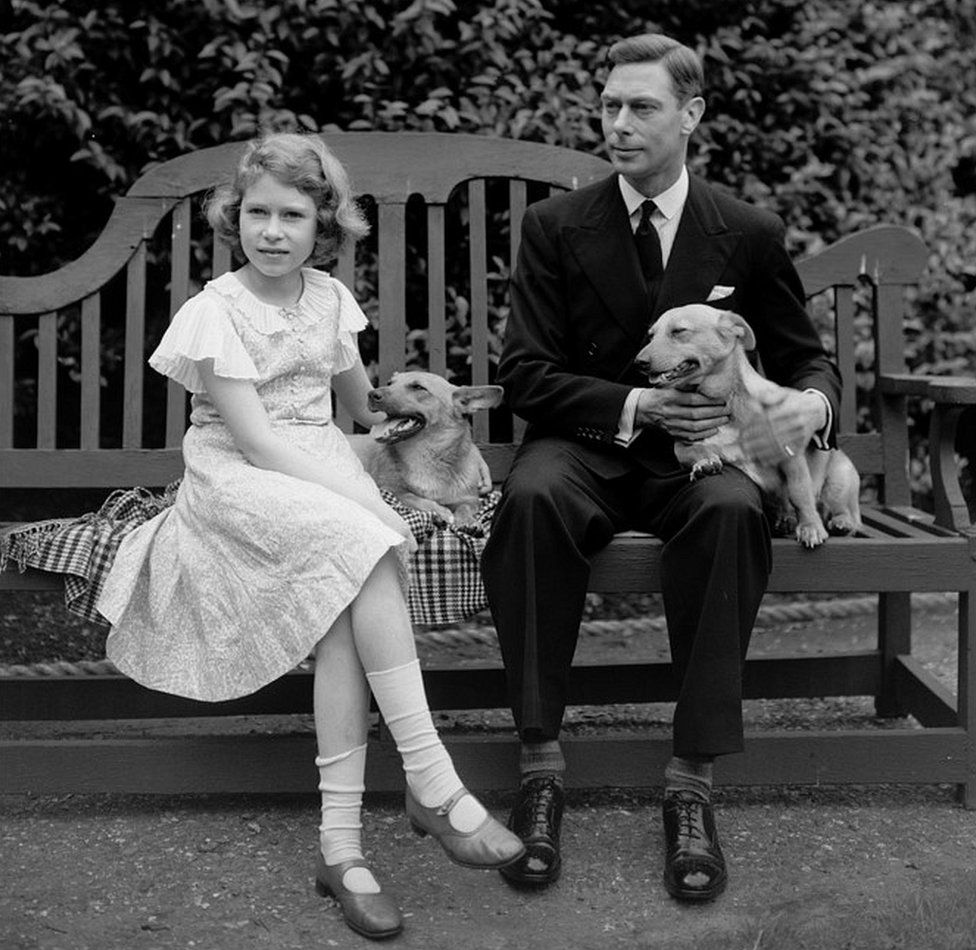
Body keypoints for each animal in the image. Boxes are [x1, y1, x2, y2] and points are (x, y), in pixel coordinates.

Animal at [350, 370, 504, 524]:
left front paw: (465, 521)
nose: (371, 394)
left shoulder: (469, 499)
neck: (425, 455)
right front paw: (441, 511)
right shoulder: (390, 489)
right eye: (390, 383)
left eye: (418, 387)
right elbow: (414, 498)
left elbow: (465, 507)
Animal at [632, 304, 860, 552]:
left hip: (839, 482)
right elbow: (696, 451)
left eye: (679, 331)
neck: (726, 400)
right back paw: (785, 518)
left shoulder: (791, 458)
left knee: (844, 512)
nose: (639, 362)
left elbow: (800, 494)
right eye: (651, 336)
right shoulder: (683, 446)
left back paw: (840, 522)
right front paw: (705, 463)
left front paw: (810, 526)